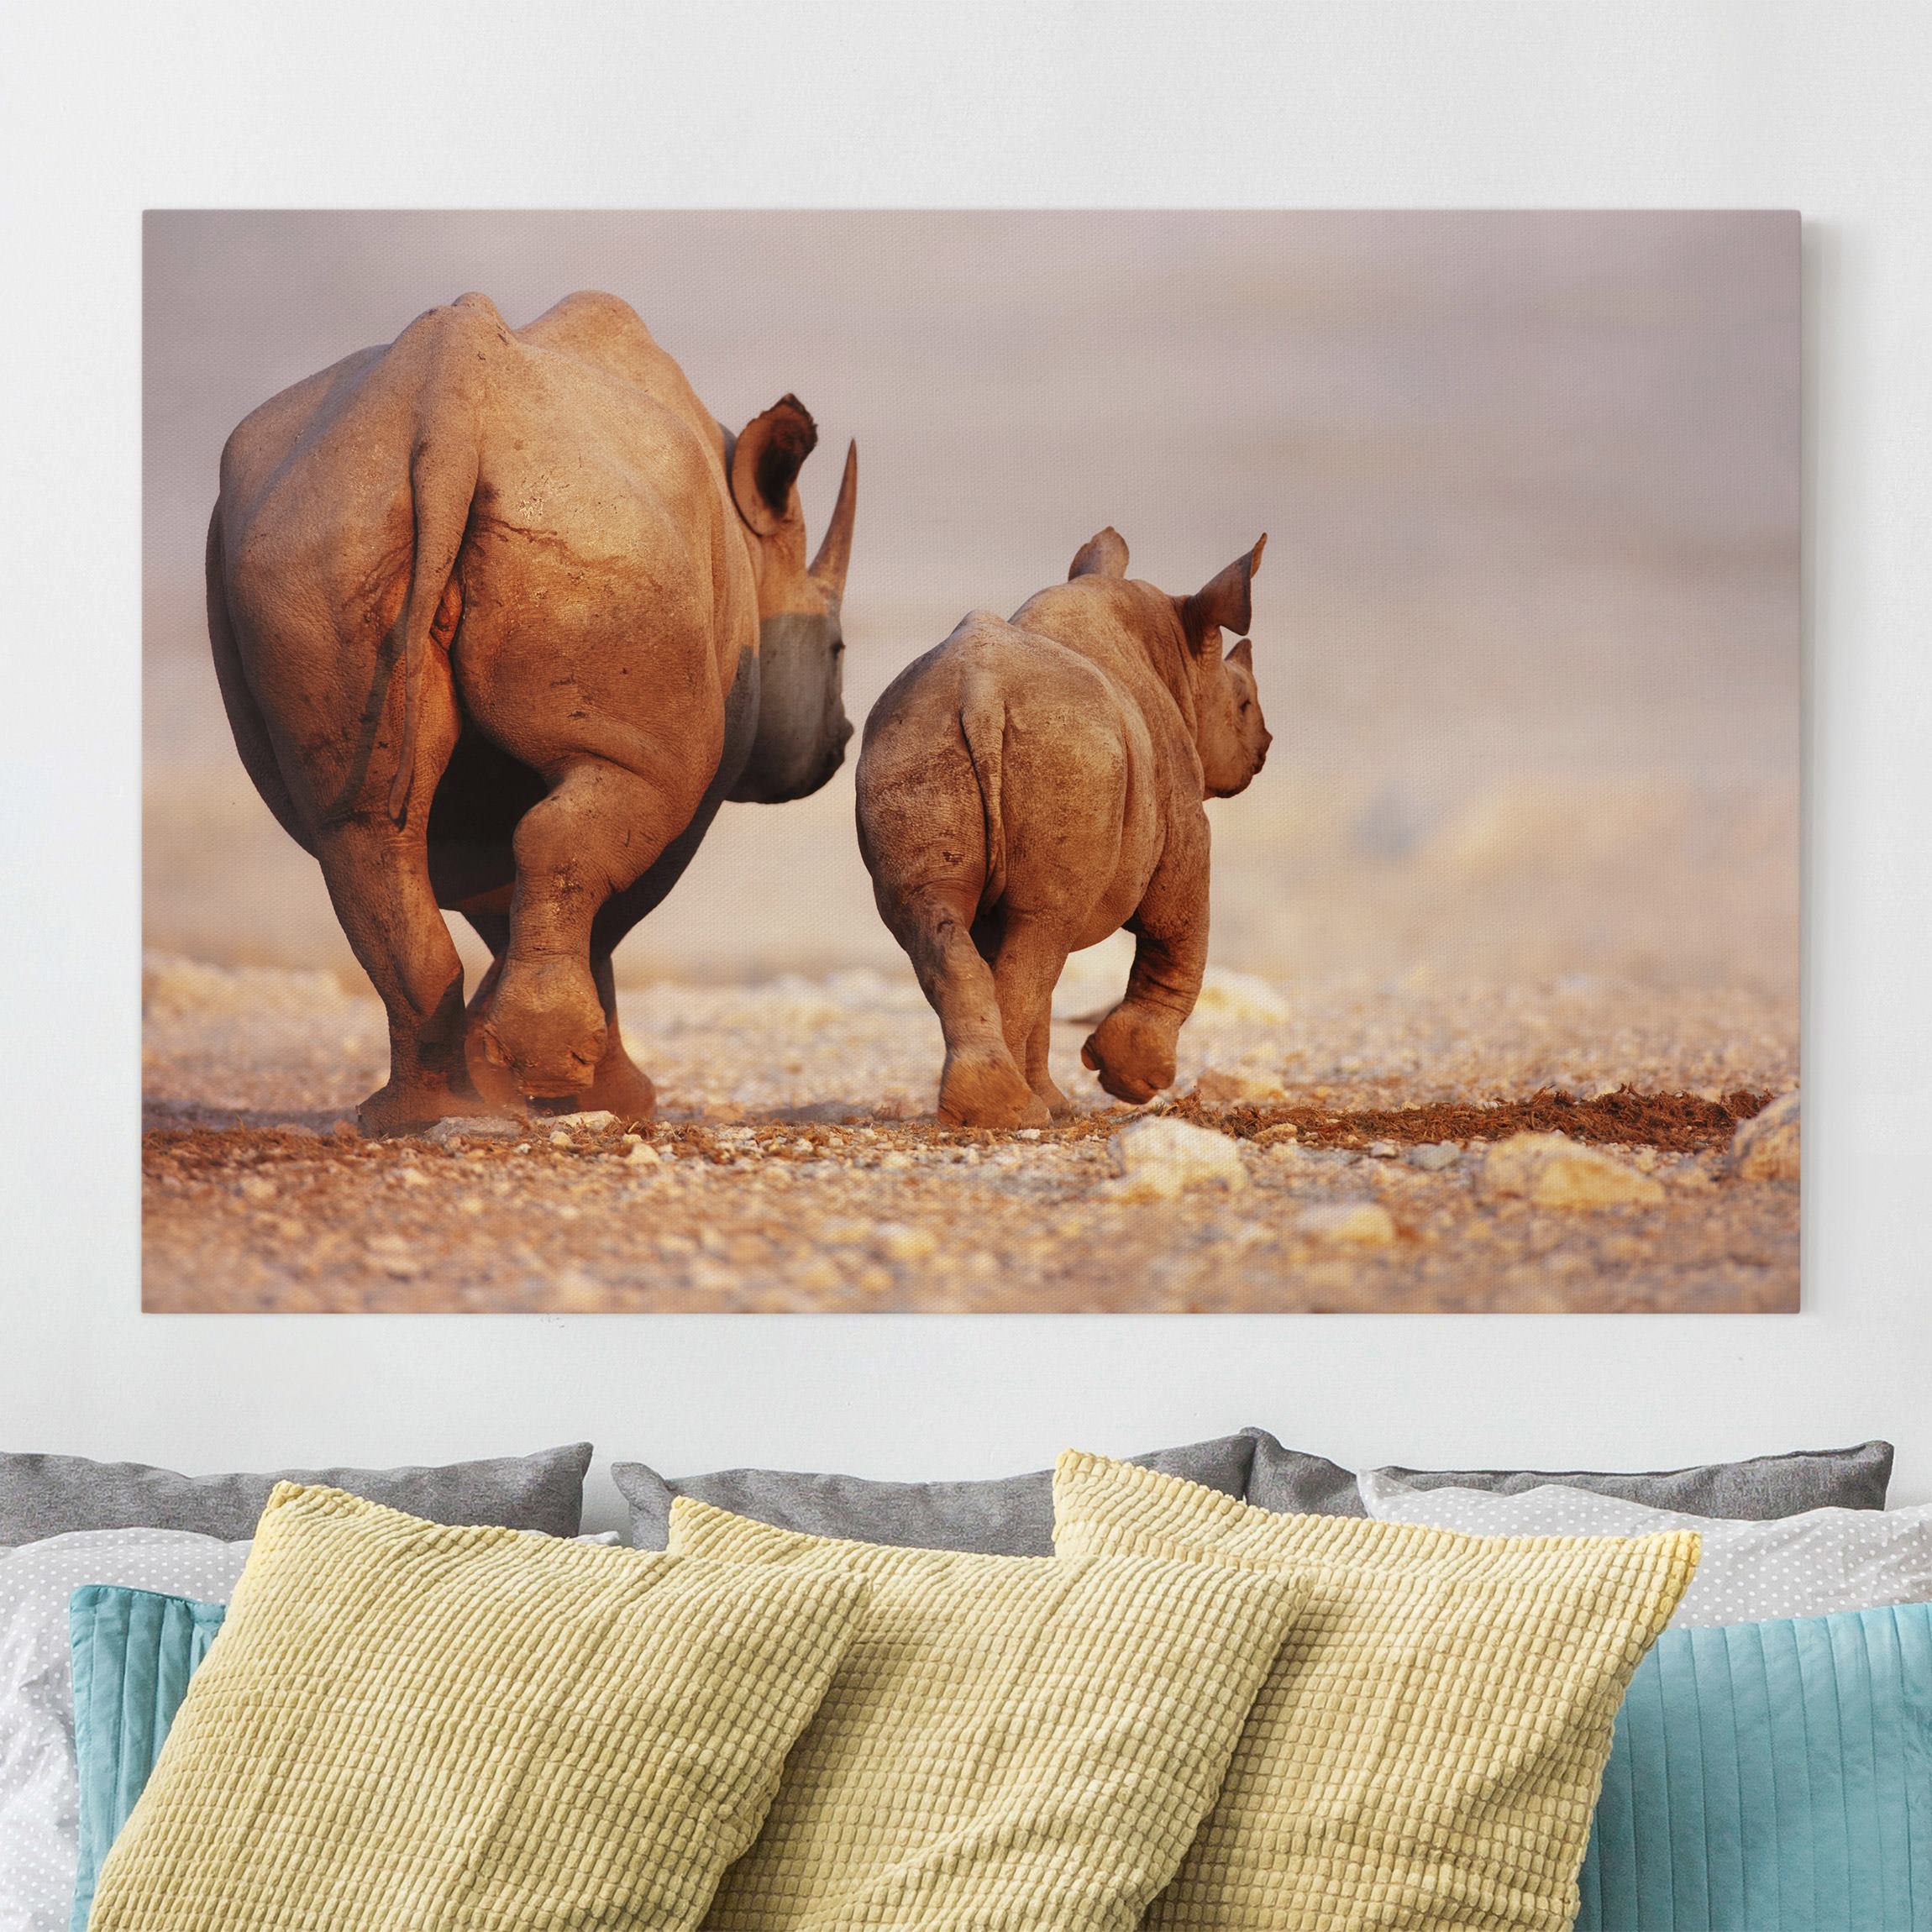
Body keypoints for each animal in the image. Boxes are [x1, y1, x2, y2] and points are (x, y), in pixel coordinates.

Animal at [207, 290, 856, 1132]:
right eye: (837, 650)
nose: (840, 742)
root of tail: (447, 409)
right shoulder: (692, 766)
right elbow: (611, 907)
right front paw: (600, 1095)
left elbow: (500, 893)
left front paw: (505, 1072)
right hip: (595, 525)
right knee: (586, 817)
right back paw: (547, 1085)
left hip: (315, 531)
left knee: (359, 831)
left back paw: (417, 1112)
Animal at [855, 528, 1270, 1128]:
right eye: (1242, 704)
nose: (1265, 745)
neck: (1178, 657)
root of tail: (980, 693)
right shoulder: (1182, 812)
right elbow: (1176, 930)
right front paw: (1132, 1080)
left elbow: (1041, 989)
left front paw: (1057, 1104)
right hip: (1066, 752)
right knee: (1042, 930)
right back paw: (1013, 1113)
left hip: (912, 740)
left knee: (946, 919)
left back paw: (995, 1109)